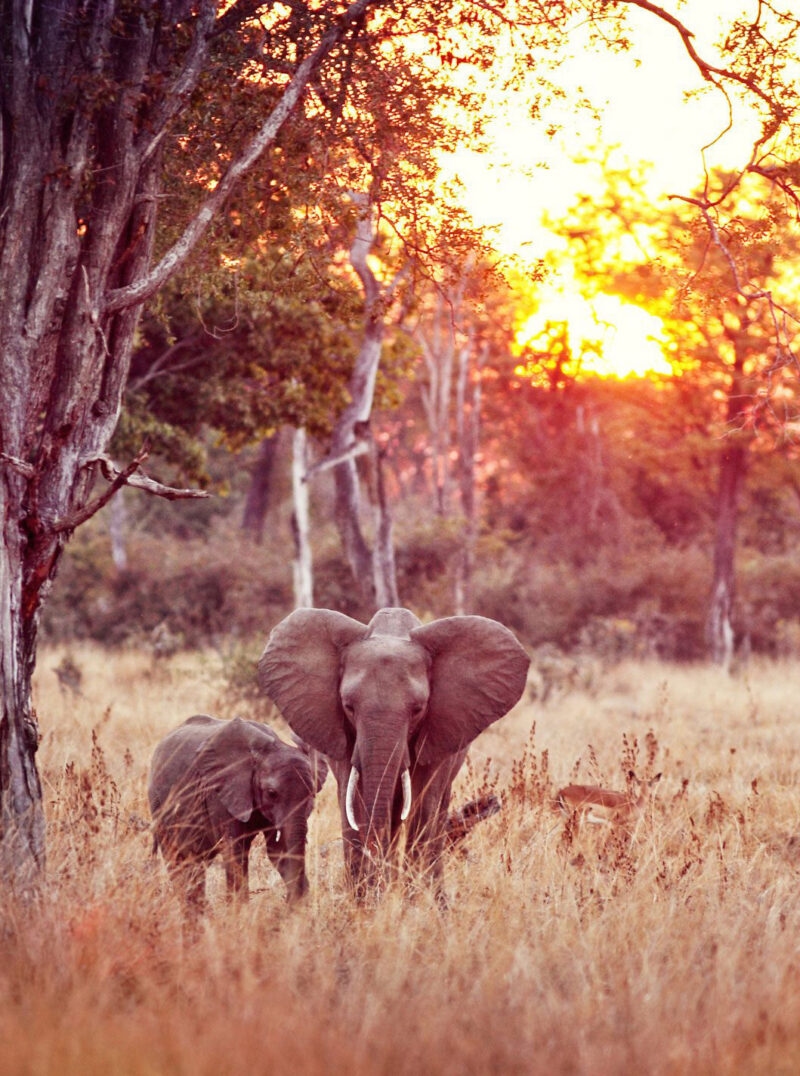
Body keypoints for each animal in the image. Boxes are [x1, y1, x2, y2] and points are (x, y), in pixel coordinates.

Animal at [148, 715, 327, 911]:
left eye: (312, 794)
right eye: (272, 793)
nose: (286, 902)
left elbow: (278, 850)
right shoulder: (219, 792)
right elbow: (235, 851)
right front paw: (239, 911)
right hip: (159, 805)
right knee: (179, 860)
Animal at [258, 607, 529, 898]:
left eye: (418, 708)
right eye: (348, 706)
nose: (378, 886)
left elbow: (423, 803)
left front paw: (414, 899)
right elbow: (352, 802)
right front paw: (366, 898)